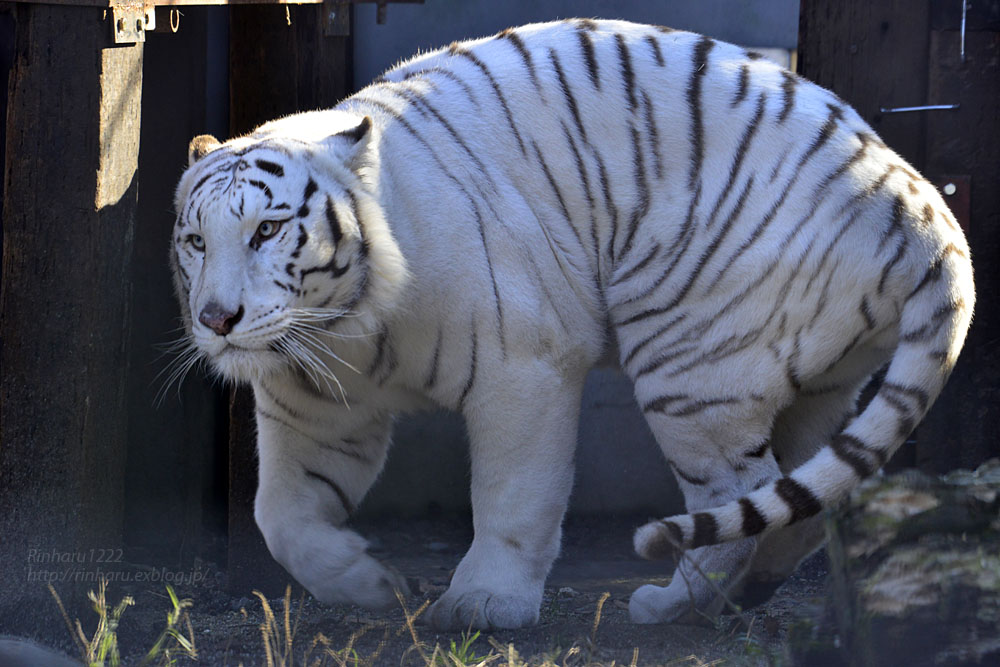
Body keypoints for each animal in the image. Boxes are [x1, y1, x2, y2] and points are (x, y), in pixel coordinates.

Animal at [174, 18, 976, 628]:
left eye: (267, 230)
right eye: (196, 241)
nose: (216, 318)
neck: (342, 329)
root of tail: (916, 200)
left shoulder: (522, 367)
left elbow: (512, 495)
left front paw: (484, 604)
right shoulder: (313, 406)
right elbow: (282, 515)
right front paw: (367, 584)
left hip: (690, 366)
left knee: (737, 494)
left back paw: (669, 606)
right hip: (820, 384)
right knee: (804, 499)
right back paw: (744, 596)